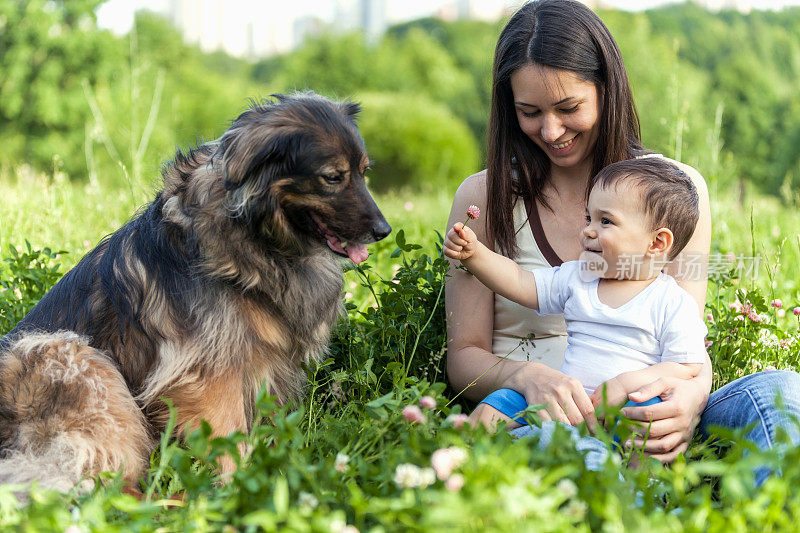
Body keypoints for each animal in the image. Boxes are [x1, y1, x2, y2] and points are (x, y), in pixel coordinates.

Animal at [0, 93, 390, 492]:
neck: (255, 240)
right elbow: (231, 440)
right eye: (333, 177)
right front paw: (236, 490)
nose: (384, 231)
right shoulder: (210, 376)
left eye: (364, 172)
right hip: (75, 357)